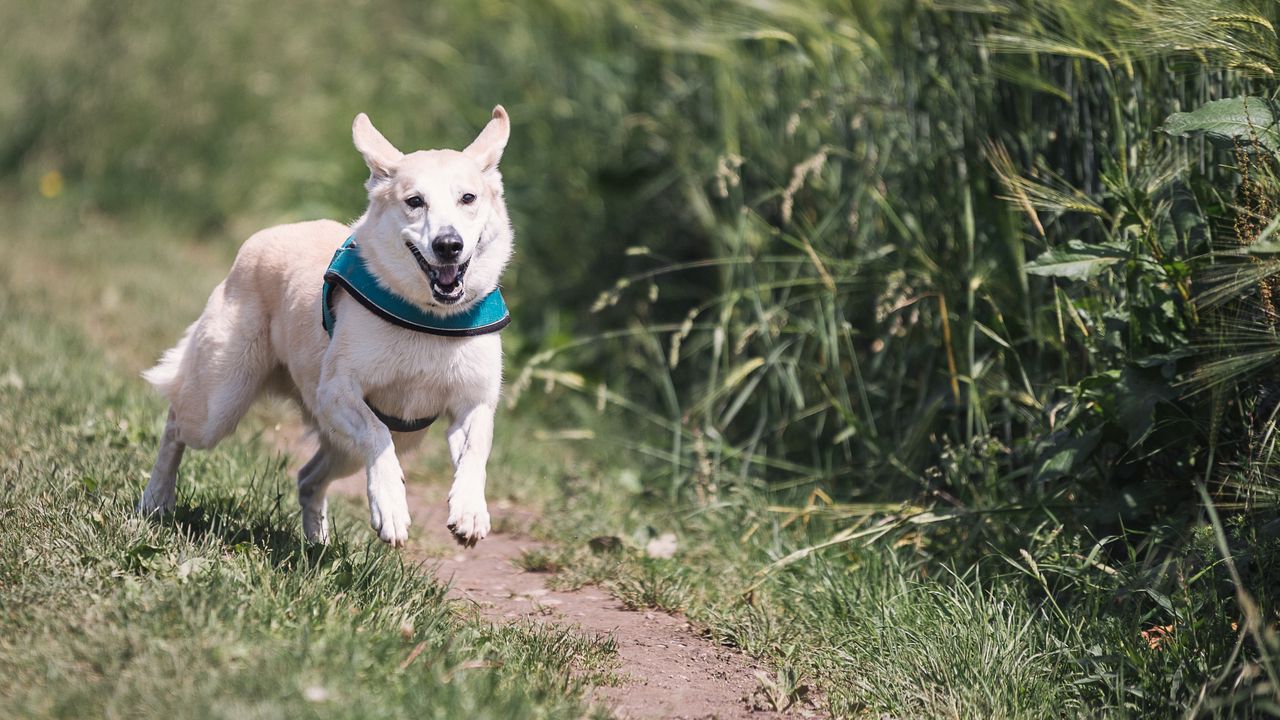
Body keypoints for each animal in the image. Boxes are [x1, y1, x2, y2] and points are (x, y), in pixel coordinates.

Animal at [140, 105, 514, 543]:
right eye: (414, 201)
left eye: (468, 198)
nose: (449, 245)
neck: (429, 319)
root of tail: (262, 237)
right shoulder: (336, 392)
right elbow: (376, 434)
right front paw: (391, 507)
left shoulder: (473, 403)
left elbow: (476, 449)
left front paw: (470, 511)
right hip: (219, 404)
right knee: (176, 424)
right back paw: (156, 499)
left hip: (350, 446)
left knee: (308, 477)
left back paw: (317, 543)